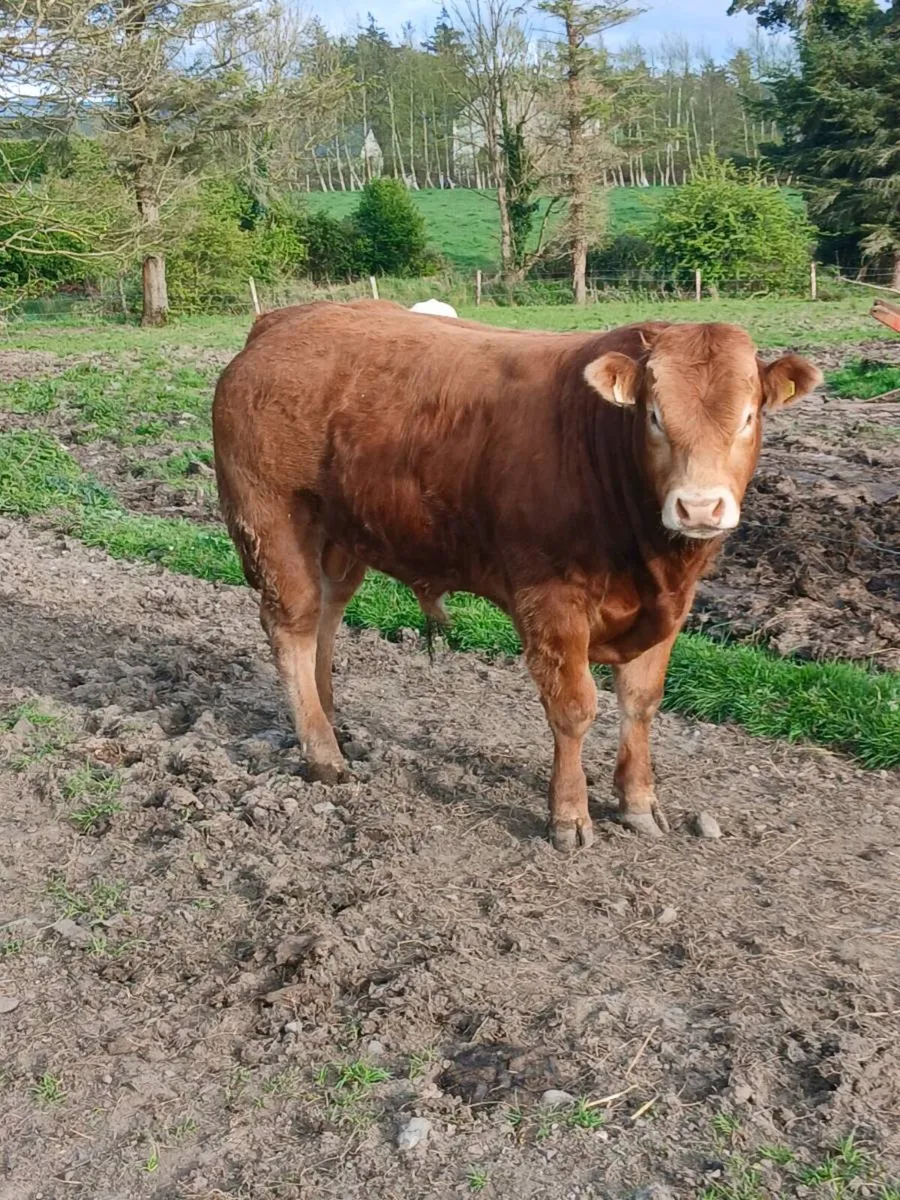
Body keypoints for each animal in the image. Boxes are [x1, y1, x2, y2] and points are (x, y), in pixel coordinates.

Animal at [212, 300, 822, 851]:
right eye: (654, 416)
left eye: (748, 416)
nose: (698, 508)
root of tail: (282, 320)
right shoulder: (551, 601)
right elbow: (574, 709)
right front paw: (569, 816)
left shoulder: (671, 606)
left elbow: (641, 703)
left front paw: (638, 801)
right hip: (274, 521)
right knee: (294, 625)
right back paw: (322, 755)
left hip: (342, 534)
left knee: (328, 615)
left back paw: (332, 721)